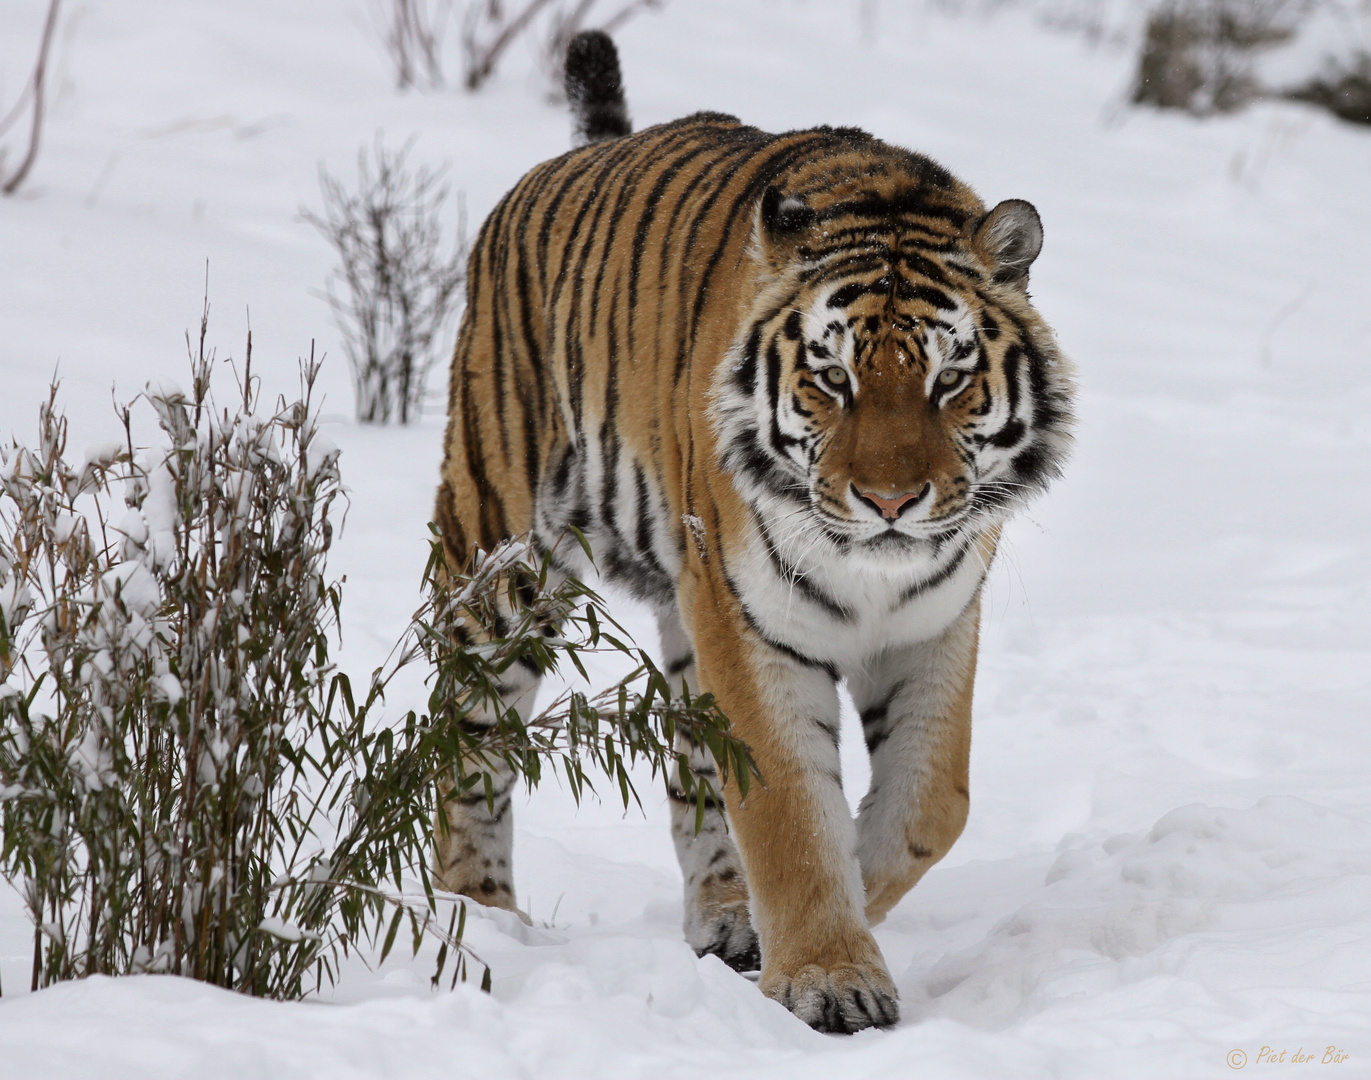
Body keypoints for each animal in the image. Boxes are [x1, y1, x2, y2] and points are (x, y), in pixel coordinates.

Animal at [433, 29, 1074, 1036]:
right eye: (832, 379)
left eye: (948, 381)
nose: (890, 500)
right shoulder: (746, 619)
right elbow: (788, 812)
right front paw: (829, 977)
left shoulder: (934, 623)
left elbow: (928, 807)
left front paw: (837, 908)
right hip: (500, 552)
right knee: (468, 733)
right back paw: (477, 918)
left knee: (693, 772)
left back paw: (725, 916)